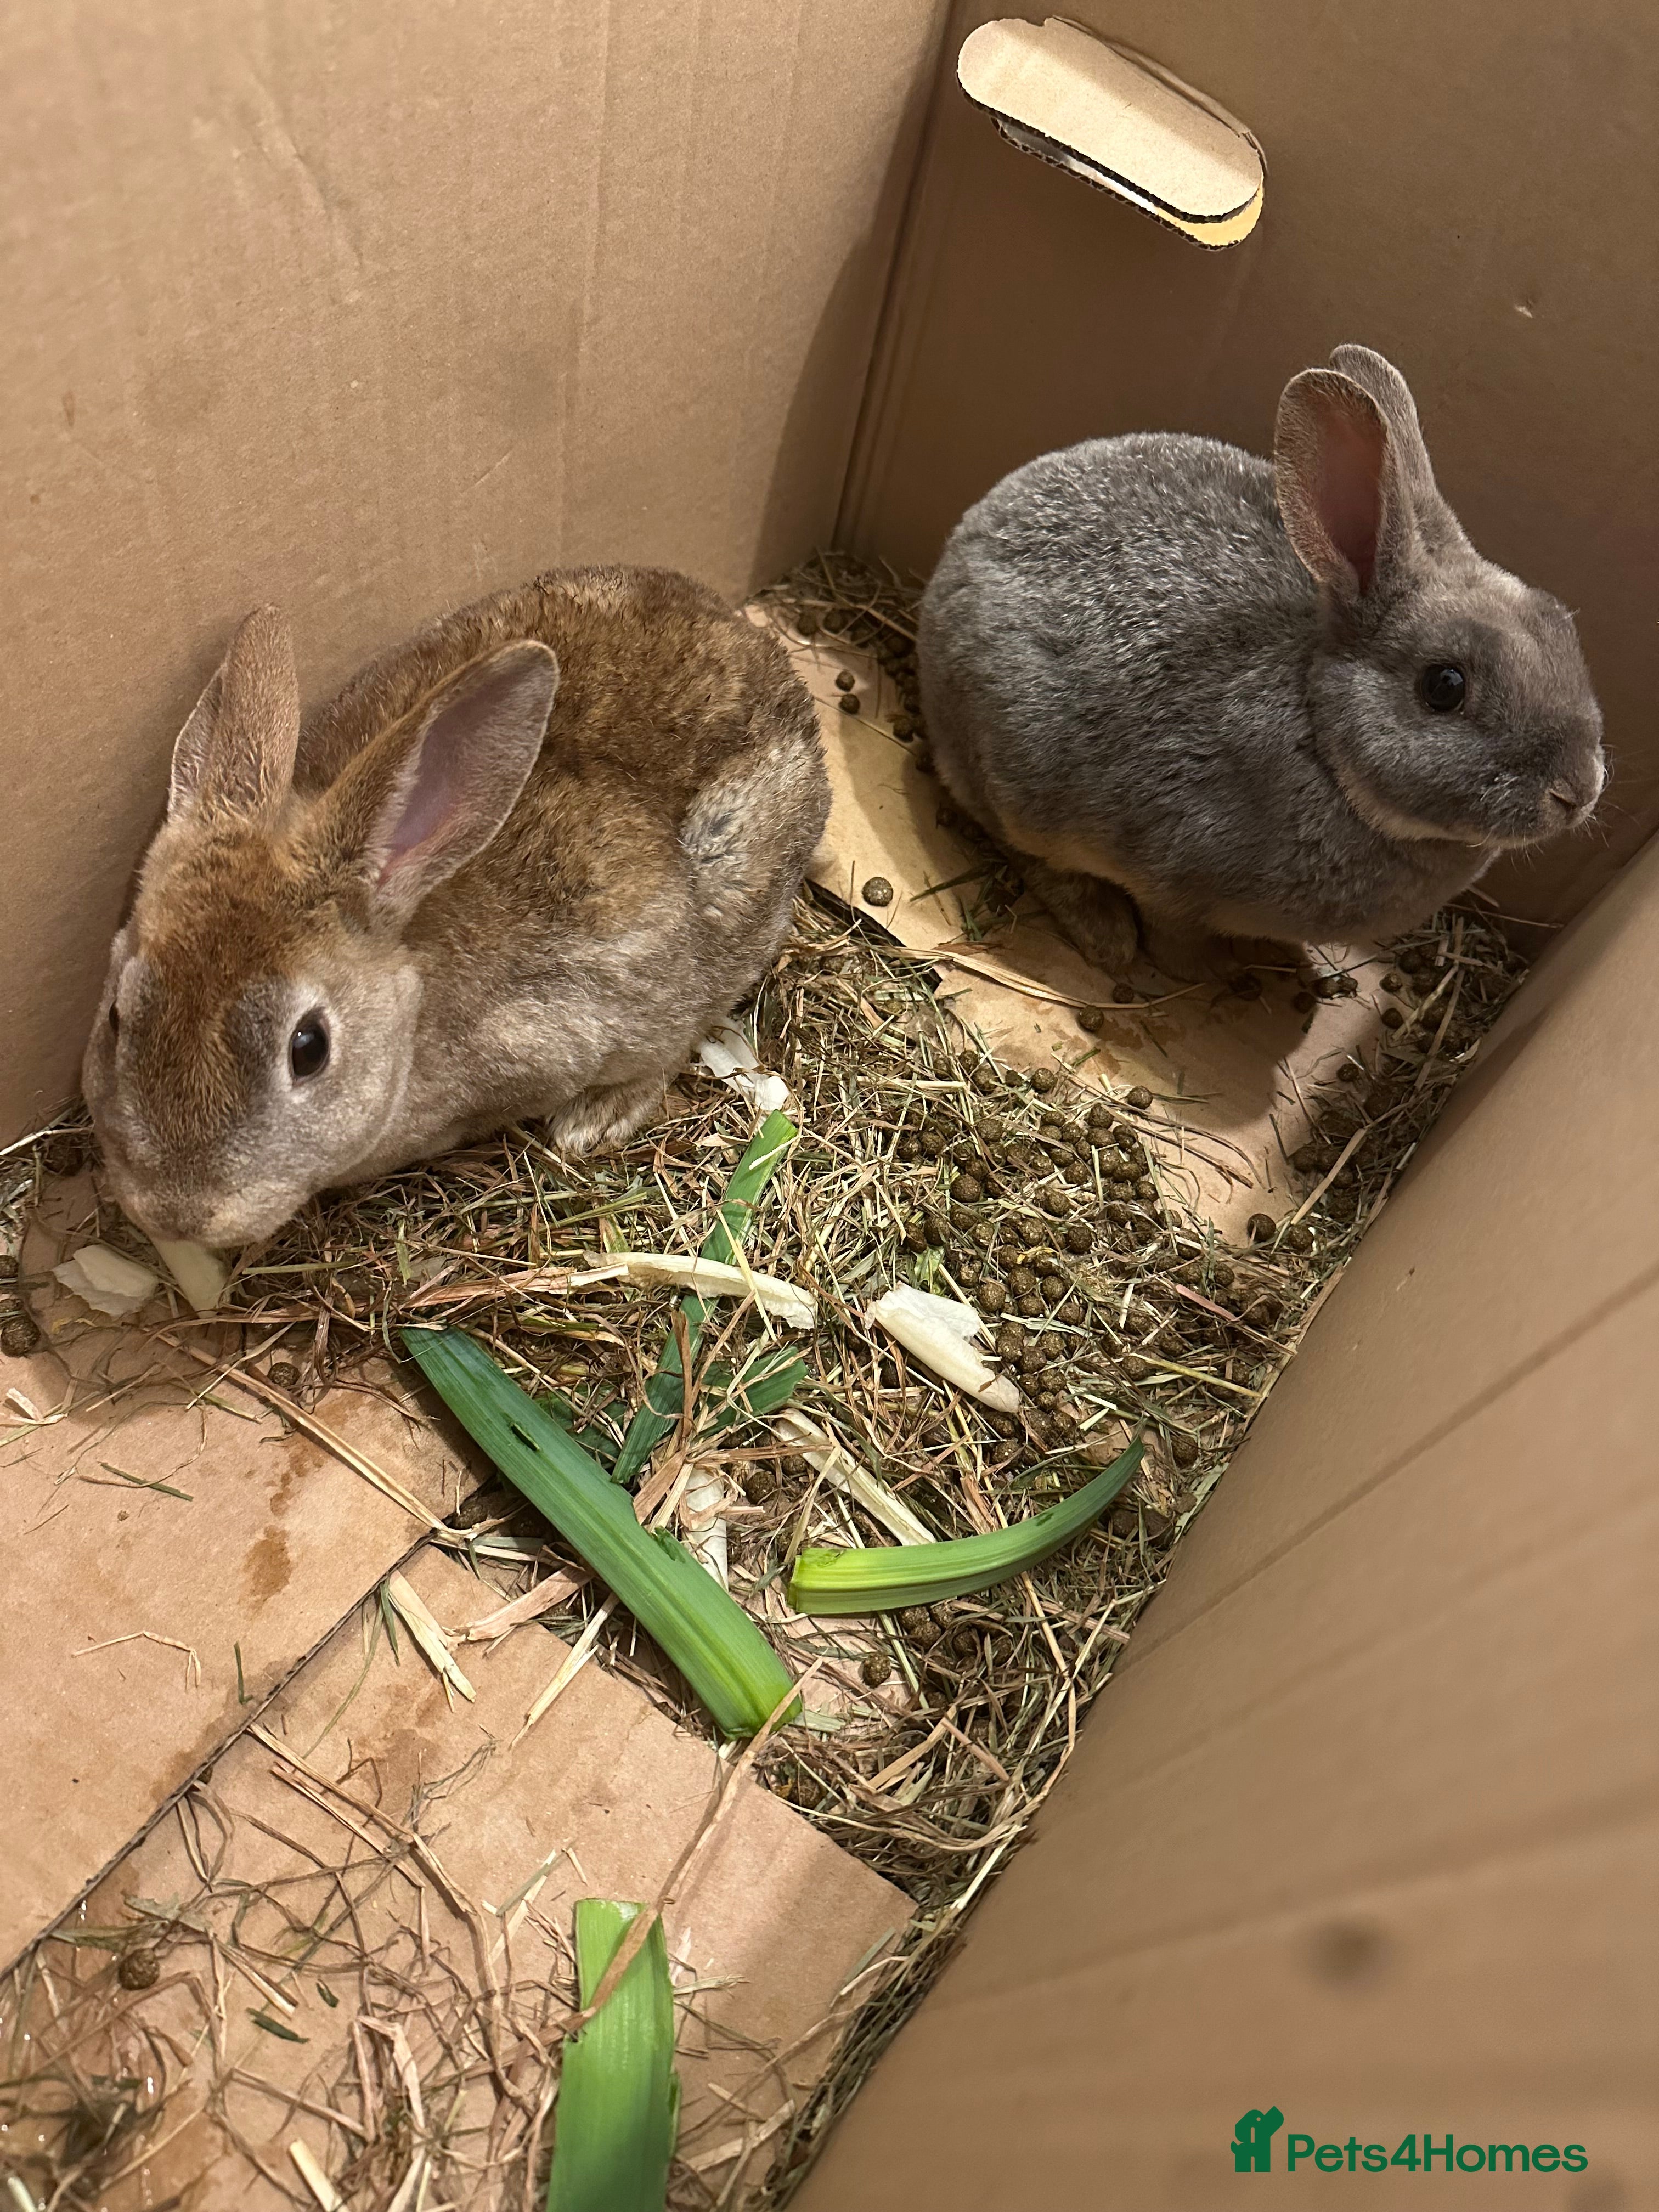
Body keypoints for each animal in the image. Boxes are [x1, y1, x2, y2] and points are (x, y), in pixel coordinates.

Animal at [916, 344, 1605, 981]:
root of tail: (955, 552)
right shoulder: (1175, 878)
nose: (1577, 792)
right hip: (1012, 771)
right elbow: (1177, 938)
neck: (1324, 745)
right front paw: (1204, 975)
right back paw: (1107, 937)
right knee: (1027, 850)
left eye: (1561, 626)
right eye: (1444, 685)